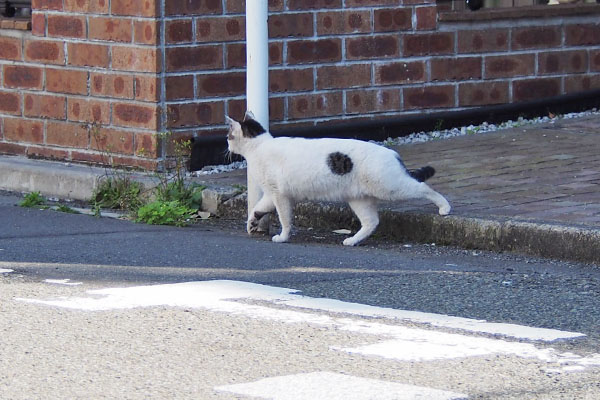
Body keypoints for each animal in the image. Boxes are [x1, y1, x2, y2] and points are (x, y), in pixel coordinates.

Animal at [225, 111, 450, 245]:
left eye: (228, 136)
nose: (226, 146)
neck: (259, 147)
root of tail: (393, 154)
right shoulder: (271, 195)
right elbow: (256, 209)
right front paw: (251, 224)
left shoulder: (280, 196)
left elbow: (285, 219)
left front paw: (283, 237)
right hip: (360, 199)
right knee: (372, 222)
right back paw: (352, 241)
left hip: (391, 187)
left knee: (423, 187)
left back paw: (444, 207)